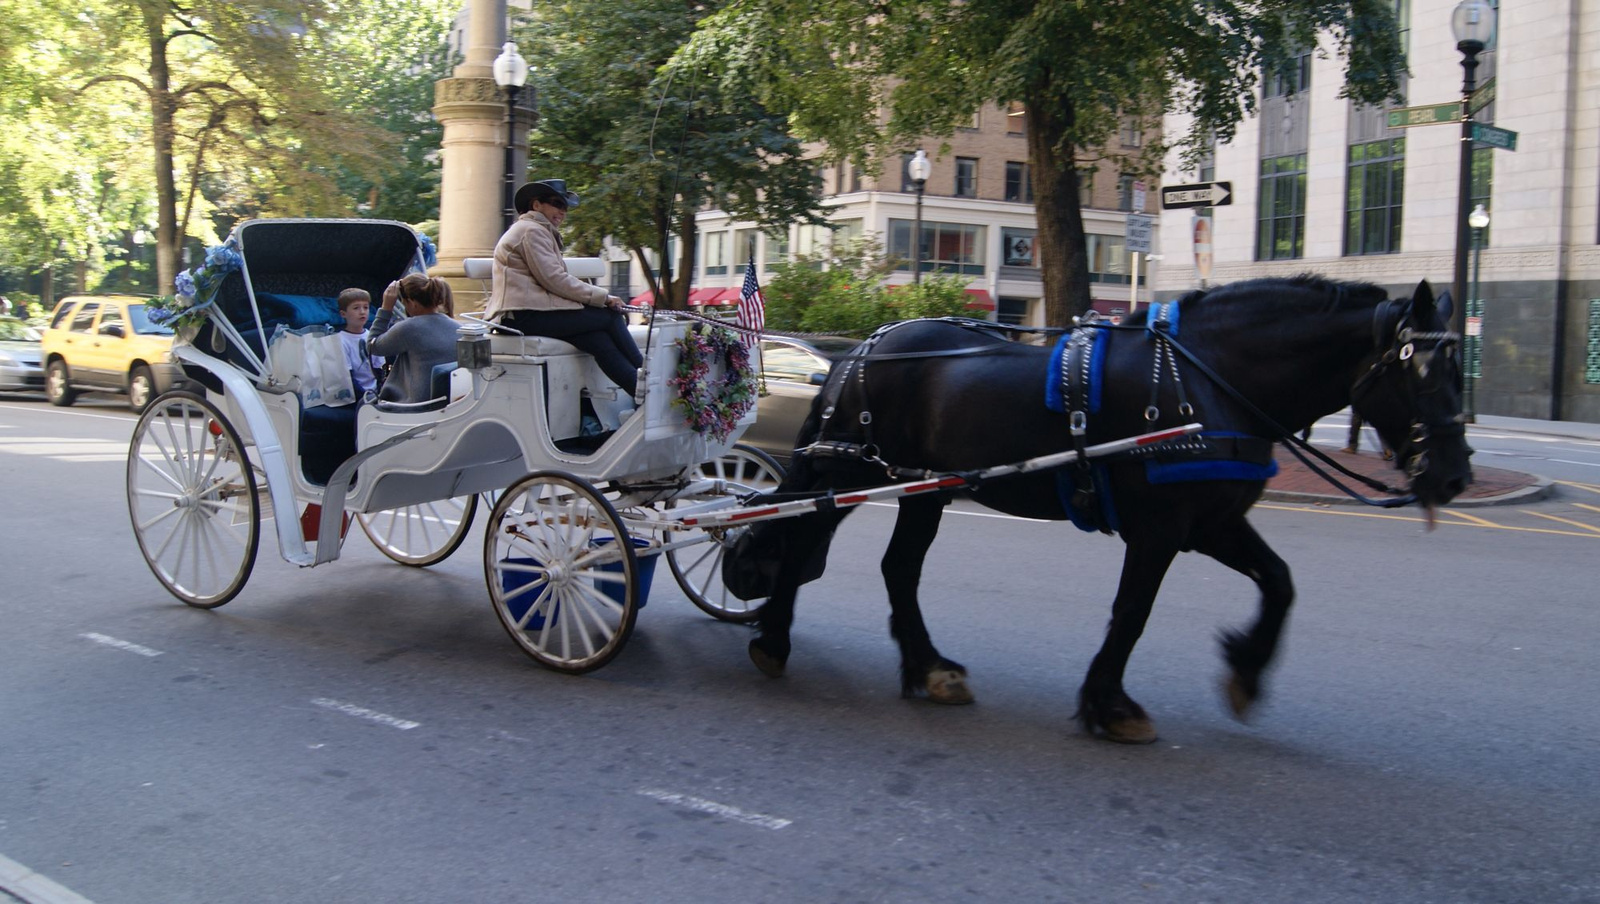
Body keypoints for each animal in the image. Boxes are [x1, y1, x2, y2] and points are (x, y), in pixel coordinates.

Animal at [726, 275, 1472, 739]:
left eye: (1459, 370)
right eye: (1421, 369)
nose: (1455, 474)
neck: (1209, 380)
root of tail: (858, 351)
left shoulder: (1212, 522)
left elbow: (1280, 583)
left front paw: (1246, 669)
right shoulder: (1161, 528)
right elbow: (1132, 613)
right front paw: (1111, 704)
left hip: (920, 487)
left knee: (897, 568)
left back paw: (928, 667)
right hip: (851, 468)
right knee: (802, 538)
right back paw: (774, 640)